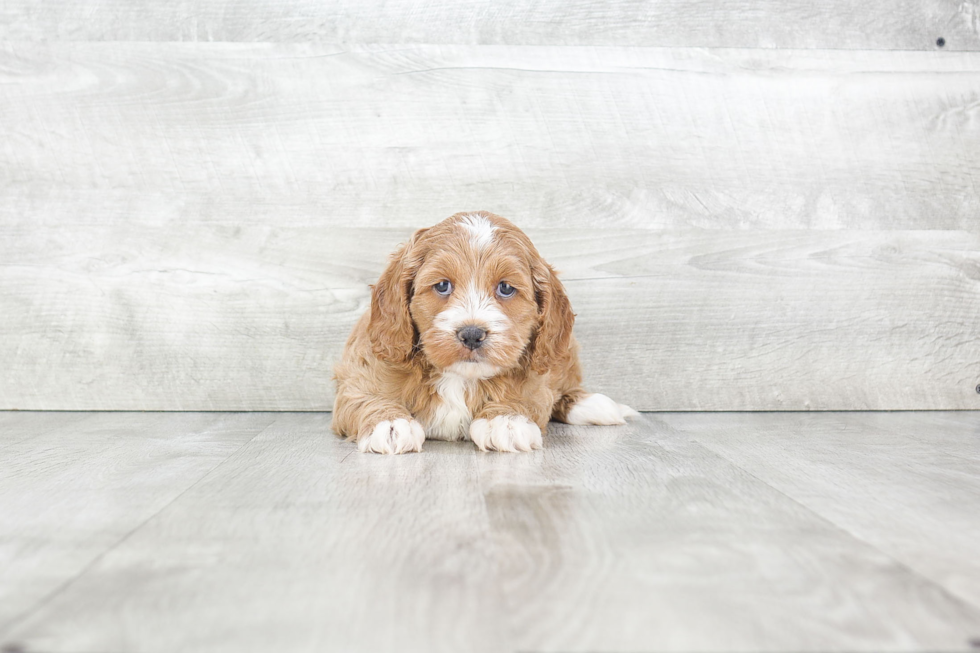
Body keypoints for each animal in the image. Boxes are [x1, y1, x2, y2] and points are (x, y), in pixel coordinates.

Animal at [334, 210, 640, 454]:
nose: (471, 334)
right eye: (442, 285)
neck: (460, 376)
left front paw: (505, 420)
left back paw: (592, 404)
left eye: (505, 288)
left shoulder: (533, 373)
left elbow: (530, 395)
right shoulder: (361, 373)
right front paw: (389, 424)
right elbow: (365, 397)